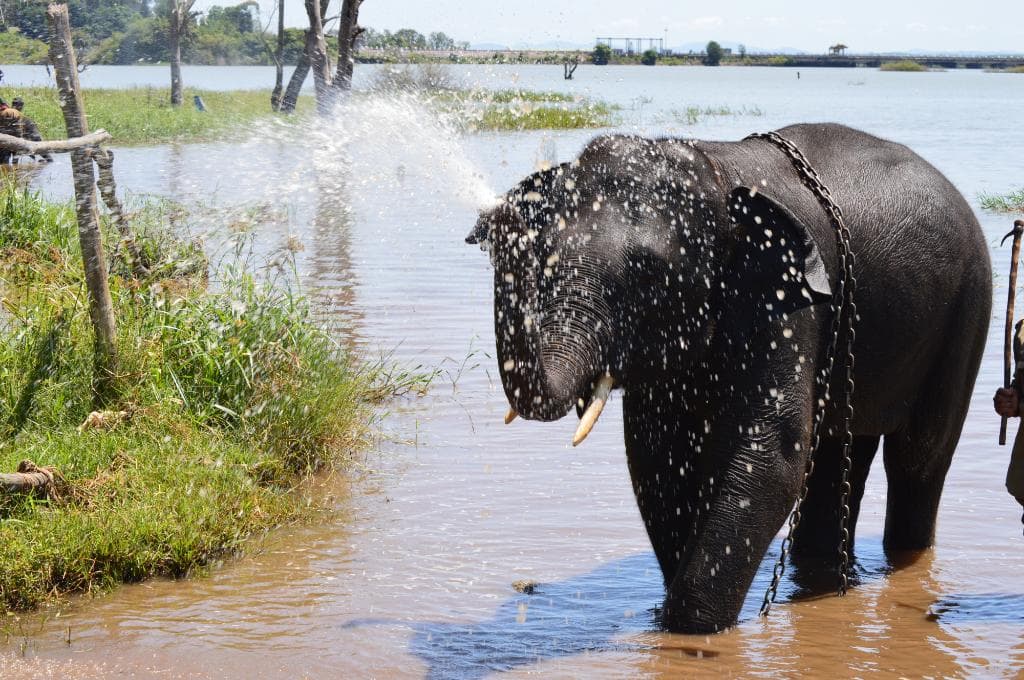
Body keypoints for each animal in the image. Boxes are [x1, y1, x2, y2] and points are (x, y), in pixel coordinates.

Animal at [466, 123, 991, 633]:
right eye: (542, 254)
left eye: (650, 273)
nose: (499, 219)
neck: (715, 170)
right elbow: (657, 456)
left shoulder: (789, 300)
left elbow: (767, 455)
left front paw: (689, 629)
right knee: (835, 456)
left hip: (968, 310)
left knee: (917, 459)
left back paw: (903, 557)